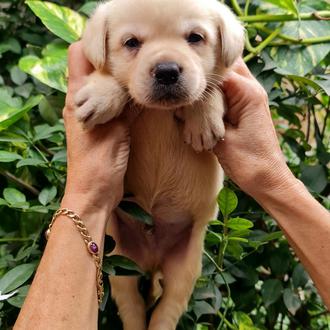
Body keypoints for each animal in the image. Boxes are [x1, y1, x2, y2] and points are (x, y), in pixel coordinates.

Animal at [76, 1, 244, 328]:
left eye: (195, 38)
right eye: (131, 43)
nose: (167, 71)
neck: (159, 112)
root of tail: (152, 261)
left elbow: (212, 87)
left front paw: (202, 118)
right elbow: (115, 79)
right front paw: (102, 93)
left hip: (186, 267)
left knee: (167, 309)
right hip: (120, 264)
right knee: (132, 306)